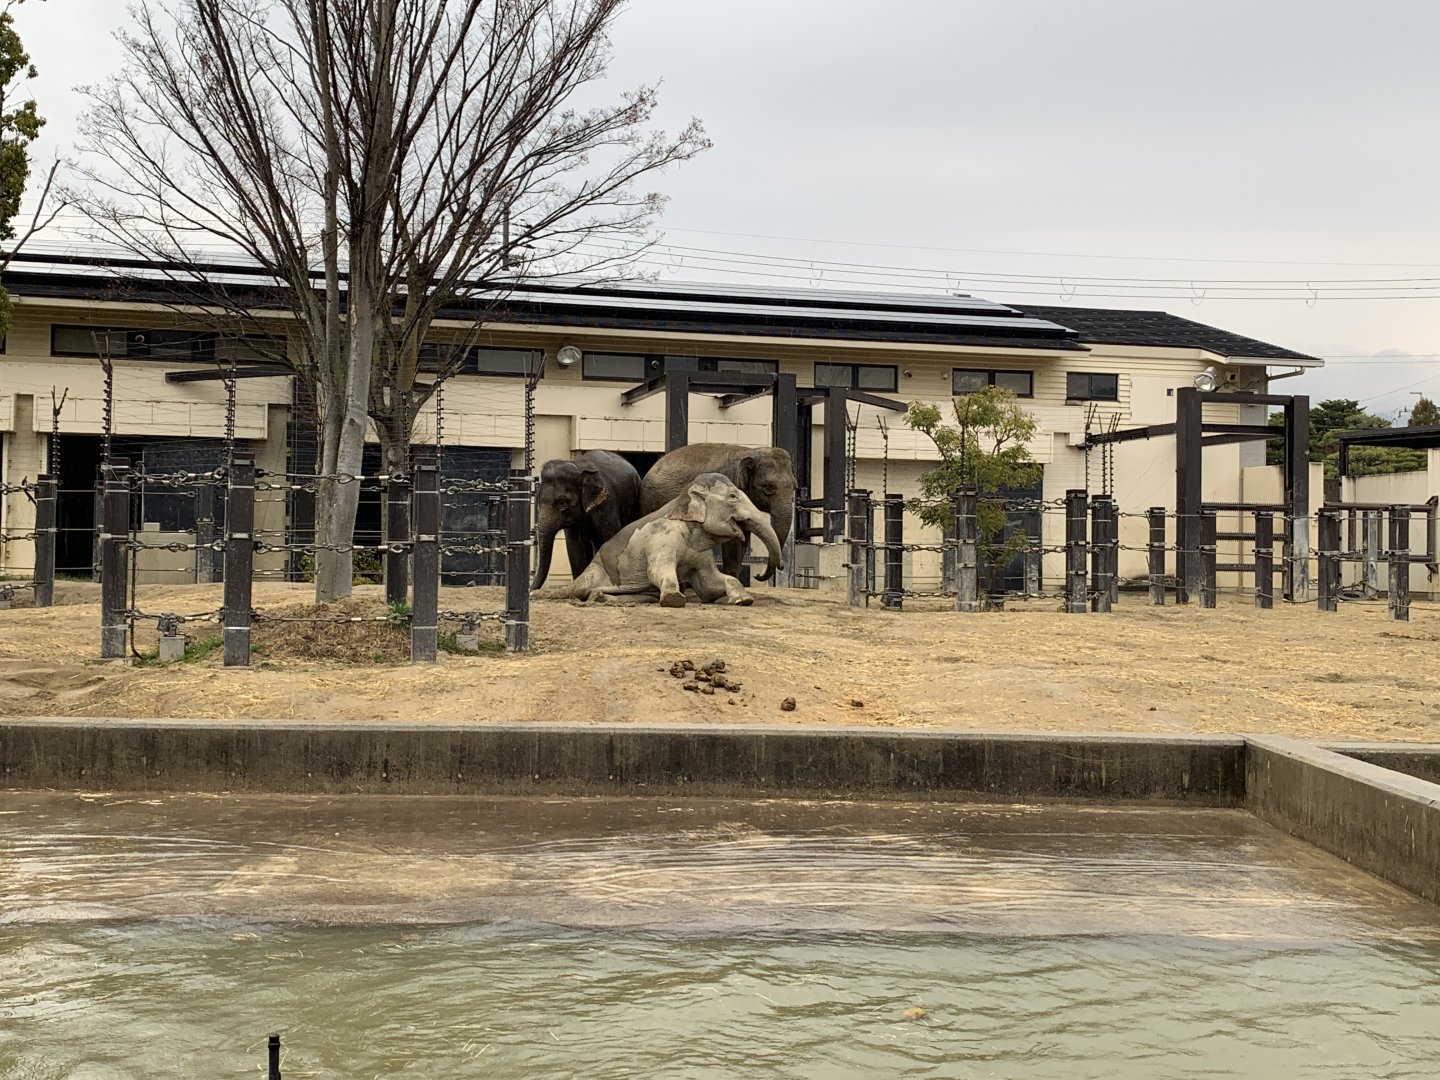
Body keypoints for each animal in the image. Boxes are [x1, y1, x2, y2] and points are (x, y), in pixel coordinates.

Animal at [531, 450, 642, 591]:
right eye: (539, 501)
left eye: (562, 503)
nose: (530, 591)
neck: (578, 468)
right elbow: (575, 547)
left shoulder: (607, 506)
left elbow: (609, 541)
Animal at [540, 473, 784, 607]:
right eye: (733, 497)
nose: (777, 567)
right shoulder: (663, 539)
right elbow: (657, 571)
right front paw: (674, 599)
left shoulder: (701, 553)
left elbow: (708, 585)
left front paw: (743, 600)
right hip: (596, 571)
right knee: (578, 590)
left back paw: (599, 597)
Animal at [639, 443, 796, 581]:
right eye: (768, 487)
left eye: (795, 487)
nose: (756, 576)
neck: (748, 451)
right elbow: (733, 542)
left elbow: (743, 538)